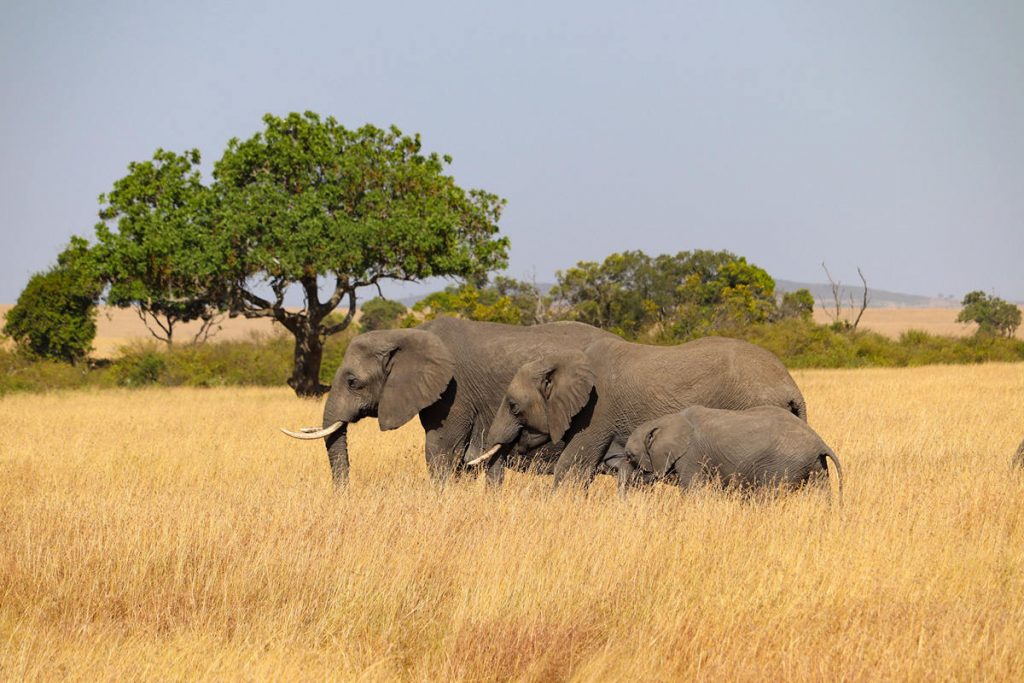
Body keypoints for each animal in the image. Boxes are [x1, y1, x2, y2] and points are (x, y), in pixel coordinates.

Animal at [618, 405, 843, 497]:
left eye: (630, 456)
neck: (665, 421)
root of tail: (819, 441)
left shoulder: (691, 456)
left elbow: (693, 490)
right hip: (815, 465)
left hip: (784, 465)